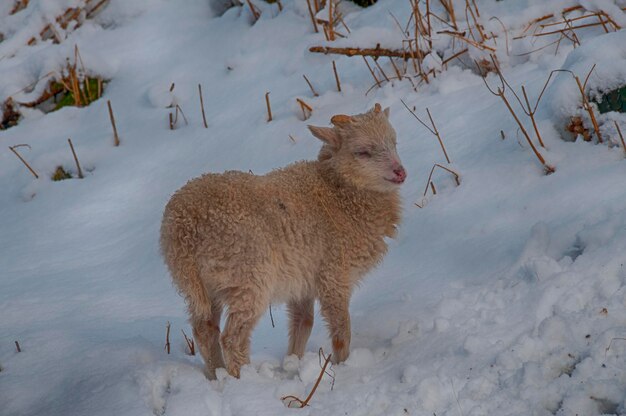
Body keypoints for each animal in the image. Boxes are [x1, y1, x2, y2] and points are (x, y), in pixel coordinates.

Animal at [161, 102, 404, 378]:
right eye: (362, 152)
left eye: (394, 142)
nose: (400, 172)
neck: (336, 193)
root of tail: (183, 229)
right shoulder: (334, 275)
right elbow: (341, 329)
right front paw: (343, 365)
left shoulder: (303, 280)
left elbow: (303, 323)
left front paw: (293, 362)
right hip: (248, 278)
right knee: (233, 338)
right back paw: (244, 378)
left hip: (203, 286)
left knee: (204, 330)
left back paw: (216, 375)